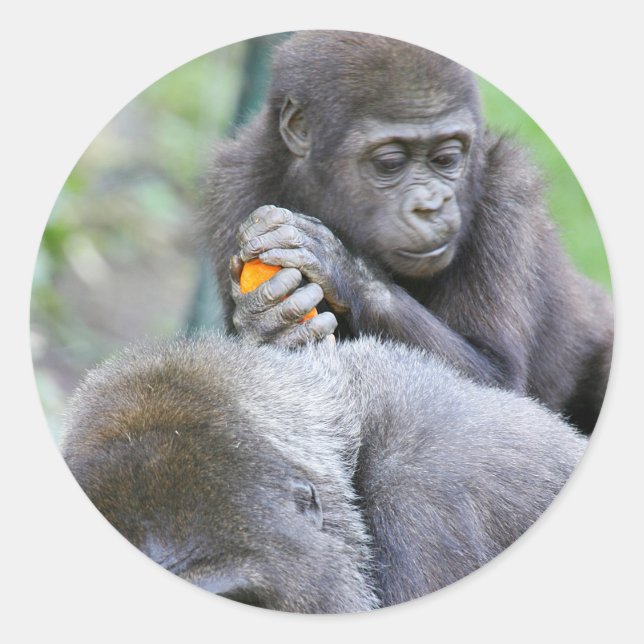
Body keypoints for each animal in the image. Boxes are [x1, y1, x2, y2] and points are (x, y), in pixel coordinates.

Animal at [199, 30, 613, 433]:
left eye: (446, 159)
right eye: (390, 163)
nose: (431, 205)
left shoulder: (507, 188)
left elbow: (496, 380)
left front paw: (342, 268)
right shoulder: (235, 181)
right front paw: (263, 323)